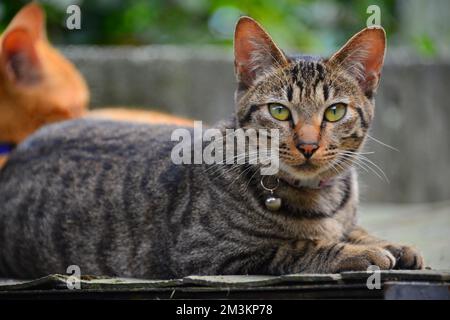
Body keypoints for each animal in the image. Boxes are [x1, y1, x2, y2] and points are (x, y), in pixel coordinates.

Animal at [0, 17, 422, 278]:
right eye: (279, 110)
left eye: (334, 111)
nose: (306, 145)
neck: (321, 198)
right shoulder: (208, 252)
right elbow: (300, 246)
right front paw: (359, 252)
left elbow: (353, 229)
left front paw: (388, 243)